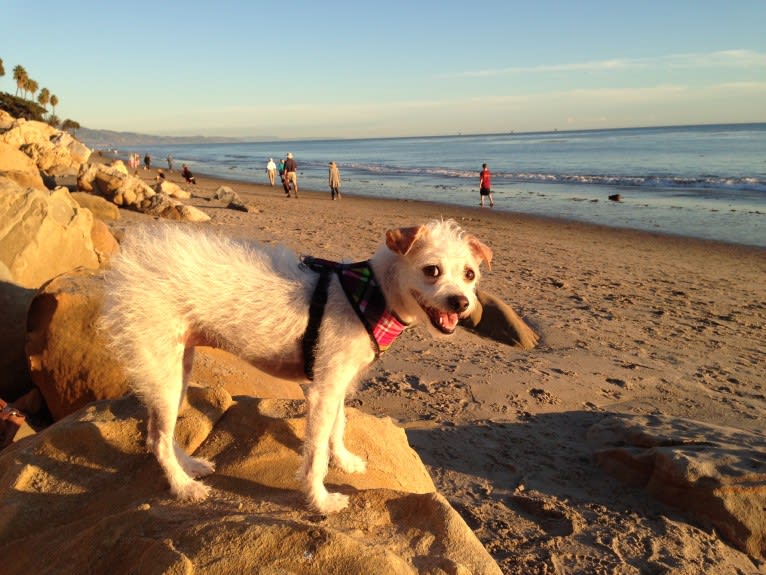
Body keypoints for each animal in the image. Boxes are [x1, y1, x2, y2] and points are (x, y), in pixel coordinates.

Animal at [102, 219, 496, 512]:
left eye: (469, 274)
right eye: (432, 270)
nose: (461, 302)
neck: (374, 295)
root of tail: (129, 265)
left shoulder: (337, 384)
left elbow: (338, 426)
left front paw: (345, 461)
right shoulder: (323, 390)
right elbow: (316, 451)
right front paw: (320, 500)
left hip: (179, 366)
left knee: (161, 434)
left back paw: (190, 466)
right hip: (164, 371)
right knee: (157, 439)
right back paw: (184, 487)